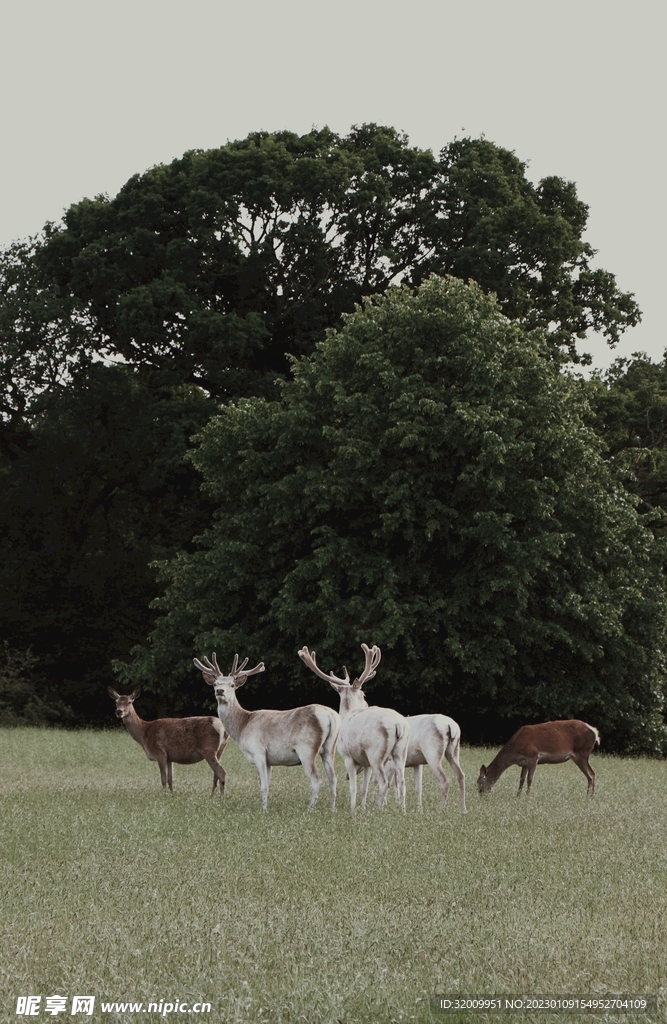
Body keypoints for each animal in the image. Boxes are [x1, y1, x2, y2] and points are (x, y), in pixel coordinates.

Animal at [193, 653, 340, 812]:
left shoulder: (258, 752)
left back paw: (308, 810)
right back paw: (332, 810)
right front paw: (265, 807)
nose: (220, 691)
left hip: (306, 749)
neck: (242, 726)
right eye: (215, 684)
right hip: (329, 748)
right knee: (333, 778)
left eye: (232, 685)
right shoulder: (269, 760)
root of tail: (331, 716)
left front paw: (264, 811)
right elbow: (267, 785)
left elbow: (263, 786)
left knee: (317, 780)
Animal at [299, 643, 410, 812]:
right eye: (364, 695)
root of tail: (399, 725)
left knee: (384, 782)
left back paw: (378, 810)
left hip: (376, 753)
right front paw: (362, 807)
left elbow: (353, 787)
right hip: (401, 752)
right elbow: (364, 788)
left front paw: (353, 810)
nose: (367, 703)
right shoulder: (365, 763)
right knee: (402, 782)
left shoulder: (347, 755)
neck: (346, 714)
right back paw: (402, 810)